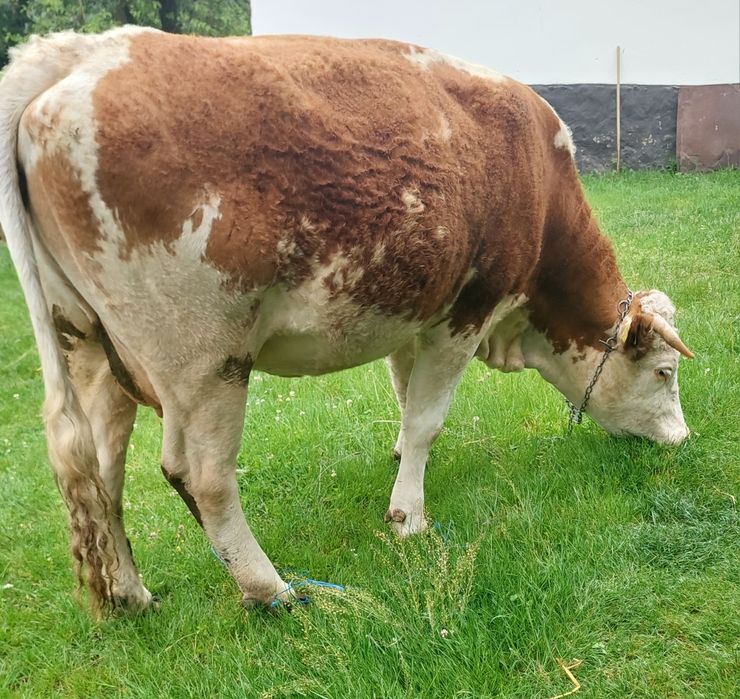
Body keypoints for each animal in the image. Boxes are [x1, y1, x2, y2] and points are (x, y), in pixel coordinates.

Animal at [0, 27, 693, 614]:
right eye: (663, 372)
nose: (683, 439)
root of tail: (87, 51)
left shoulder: (415, 313)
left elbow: (404, 396)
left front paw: (400, 463)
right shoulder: (467, 311)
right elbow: (426, 419)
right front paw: (409, 518)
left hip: (89, 343)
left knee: (99, 470)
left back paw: (130, 593)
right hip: (204, 357)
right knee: (201, 476)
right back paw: (269, 588)